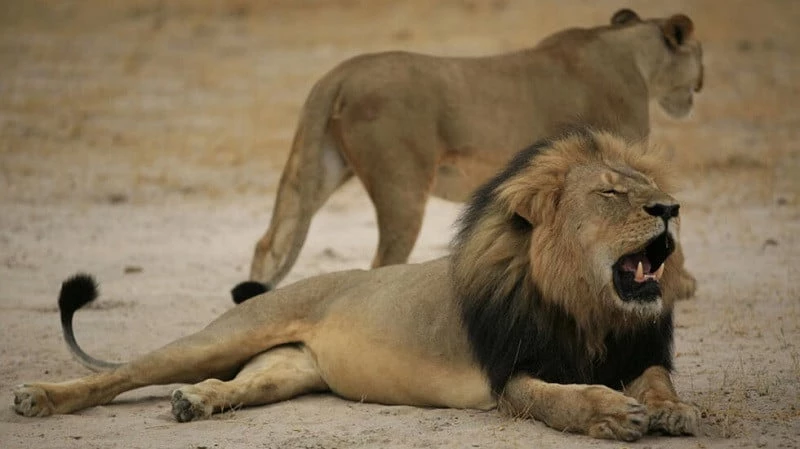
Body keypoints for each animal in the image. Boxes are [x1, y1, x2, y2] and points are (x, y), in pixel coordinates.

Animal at [14, 129, 699, 442]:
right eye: (610, 194)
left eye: (648, 188)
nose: (671, 208)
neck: (588, 309)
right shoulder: (511, 374)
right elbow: (561, 399)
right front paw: (610, 413)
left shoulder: (636, 350)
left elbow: (658, 381)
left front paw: (673, 411)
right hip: (223, 336)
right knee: (123, 373)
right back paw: (39, 398)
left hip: (286, 369)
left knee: (235, 384)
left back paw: (196, 403)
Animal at [238, 8, 704, 301]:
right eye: (698, 56)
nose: (699, 86)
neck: (632, 54)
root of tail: (339, 73)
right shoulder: (619, 158)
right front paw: (680, 284)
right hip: (401, 186)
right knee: (382, 262)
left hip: (320, 168)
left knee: (269, 242)